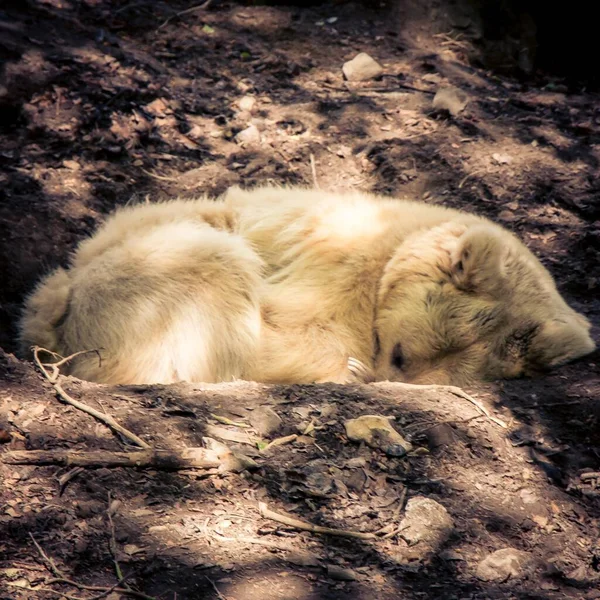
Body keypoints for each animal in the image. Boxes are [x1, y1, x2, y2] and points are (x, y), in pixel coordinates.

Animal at [19, 185, 596, 386]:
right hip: (151, 274)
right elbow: (309, 328)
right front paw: (349, 365)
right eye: (403, 354)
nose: (385, 380)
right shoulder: (337, 262)